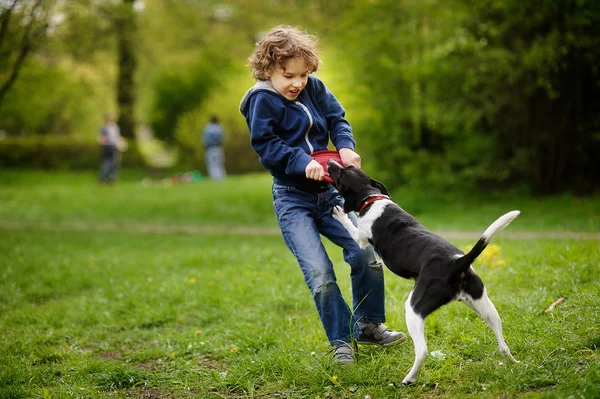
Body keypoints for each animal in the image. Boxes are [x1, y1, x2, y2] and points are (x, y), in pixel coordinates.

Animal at [326, 160, 516, 388]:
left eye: (342, 173)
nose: (330, 162)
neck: (371, 199)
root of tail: (458, 262)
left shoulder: (360, 237)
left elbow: (349, 224)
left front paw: (339, 213)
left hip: (413, 310)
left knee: (422, 350)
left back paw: (409, 378)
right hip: (485, 307)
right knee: (502, 342)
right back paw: (514, 363)